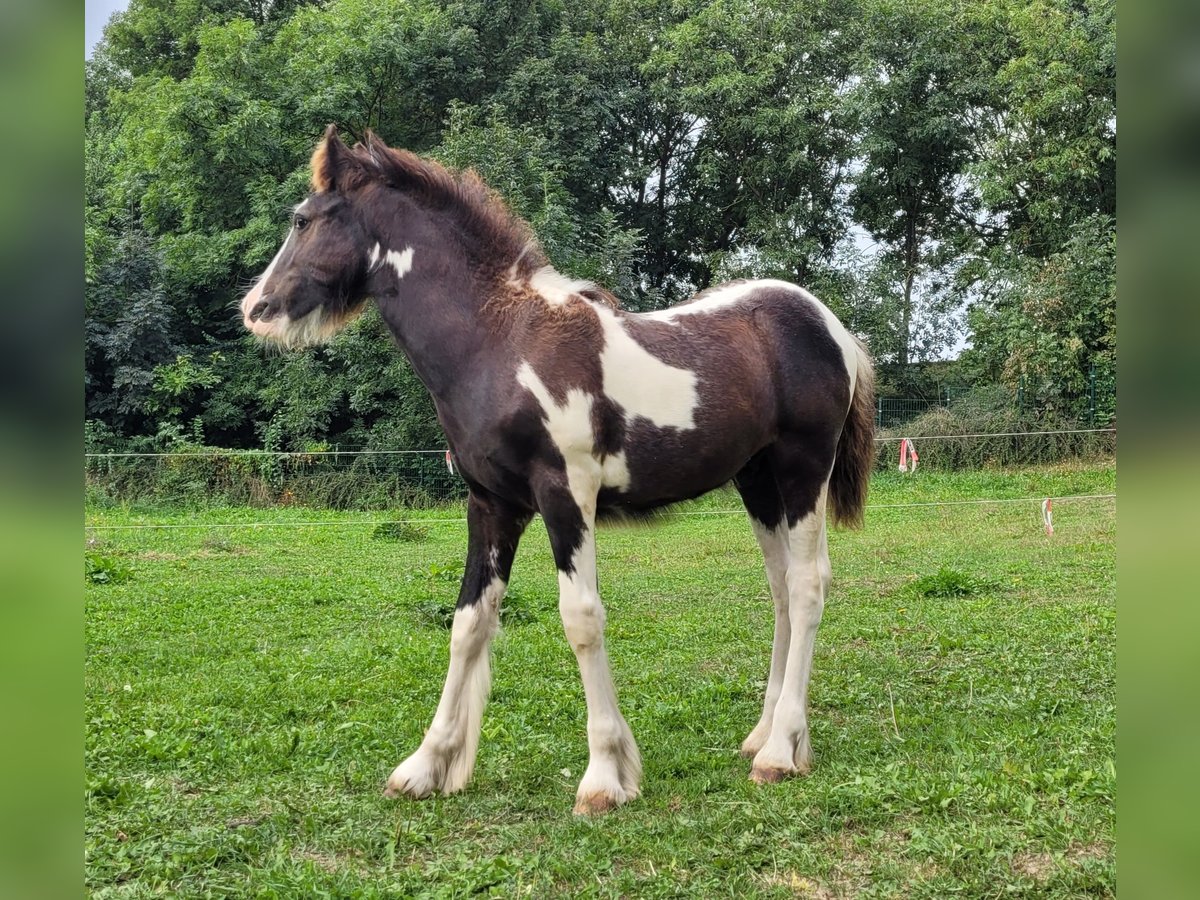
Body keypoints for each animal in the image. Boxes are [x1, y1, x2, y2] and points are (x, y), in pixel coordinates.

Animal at [238, 128, 878, 816]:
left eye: (302, 220)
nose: (256, 307)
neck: (500, 342)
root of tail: (833, 327)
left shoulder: (566, 496)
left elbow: (582, 619)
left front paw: (604, 776)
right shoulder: (491, 505)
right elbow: (469, 622)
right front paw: (426, 765)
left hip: (802, 470)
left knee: (807, 585)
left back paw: (781, 752)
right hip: (757, 482)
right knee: (781, 587)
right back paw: (763, 736)